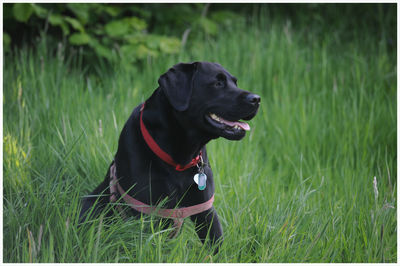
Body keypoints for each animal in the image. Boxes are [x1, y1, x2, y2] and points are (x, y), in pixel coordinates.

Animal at [79, 61, 260, 249]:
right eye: (218, 83)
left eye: (235, 83)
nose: (256, 99)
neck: (181, 156)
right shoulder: (142, 210)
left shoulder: (205, 210)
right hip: (91, 204)